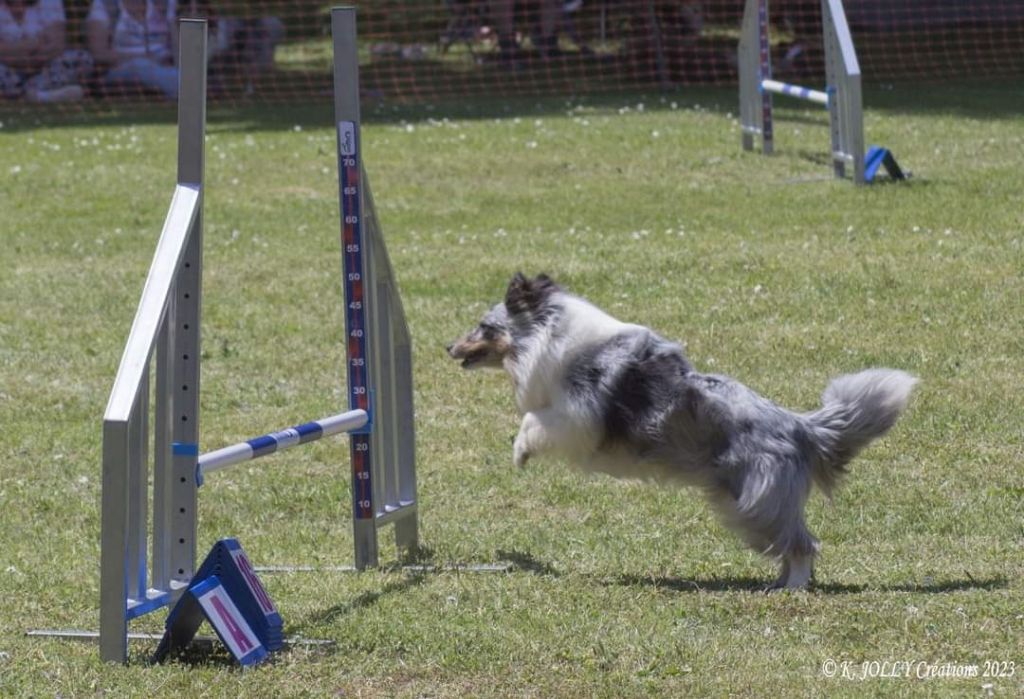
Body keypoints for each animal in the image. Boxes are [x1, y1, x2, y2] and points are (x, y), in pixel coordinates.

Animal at [444, 274, 917, 589]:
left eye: (484, 326)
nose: (447, 346)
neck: (551, 335)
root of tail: (800, 426)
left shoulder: (575, 415)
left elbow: (532, 422)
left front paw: (520, 453)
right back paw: (778, 583)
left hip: (755, 503)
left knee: (803, 544)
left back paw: (795, 587)